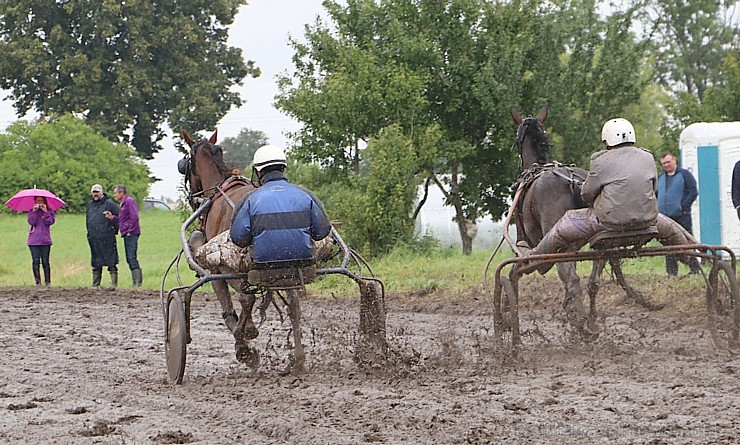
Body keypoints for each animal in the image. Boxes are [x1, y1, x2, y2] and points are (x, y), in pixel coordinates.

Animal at [181, 130, 264, 366]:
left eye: (185, 164)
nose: (193, 199)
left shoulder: (216, 270)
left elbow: (230, 306)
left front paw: (244, 340)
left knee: (246, 297)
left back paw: (242, 342)